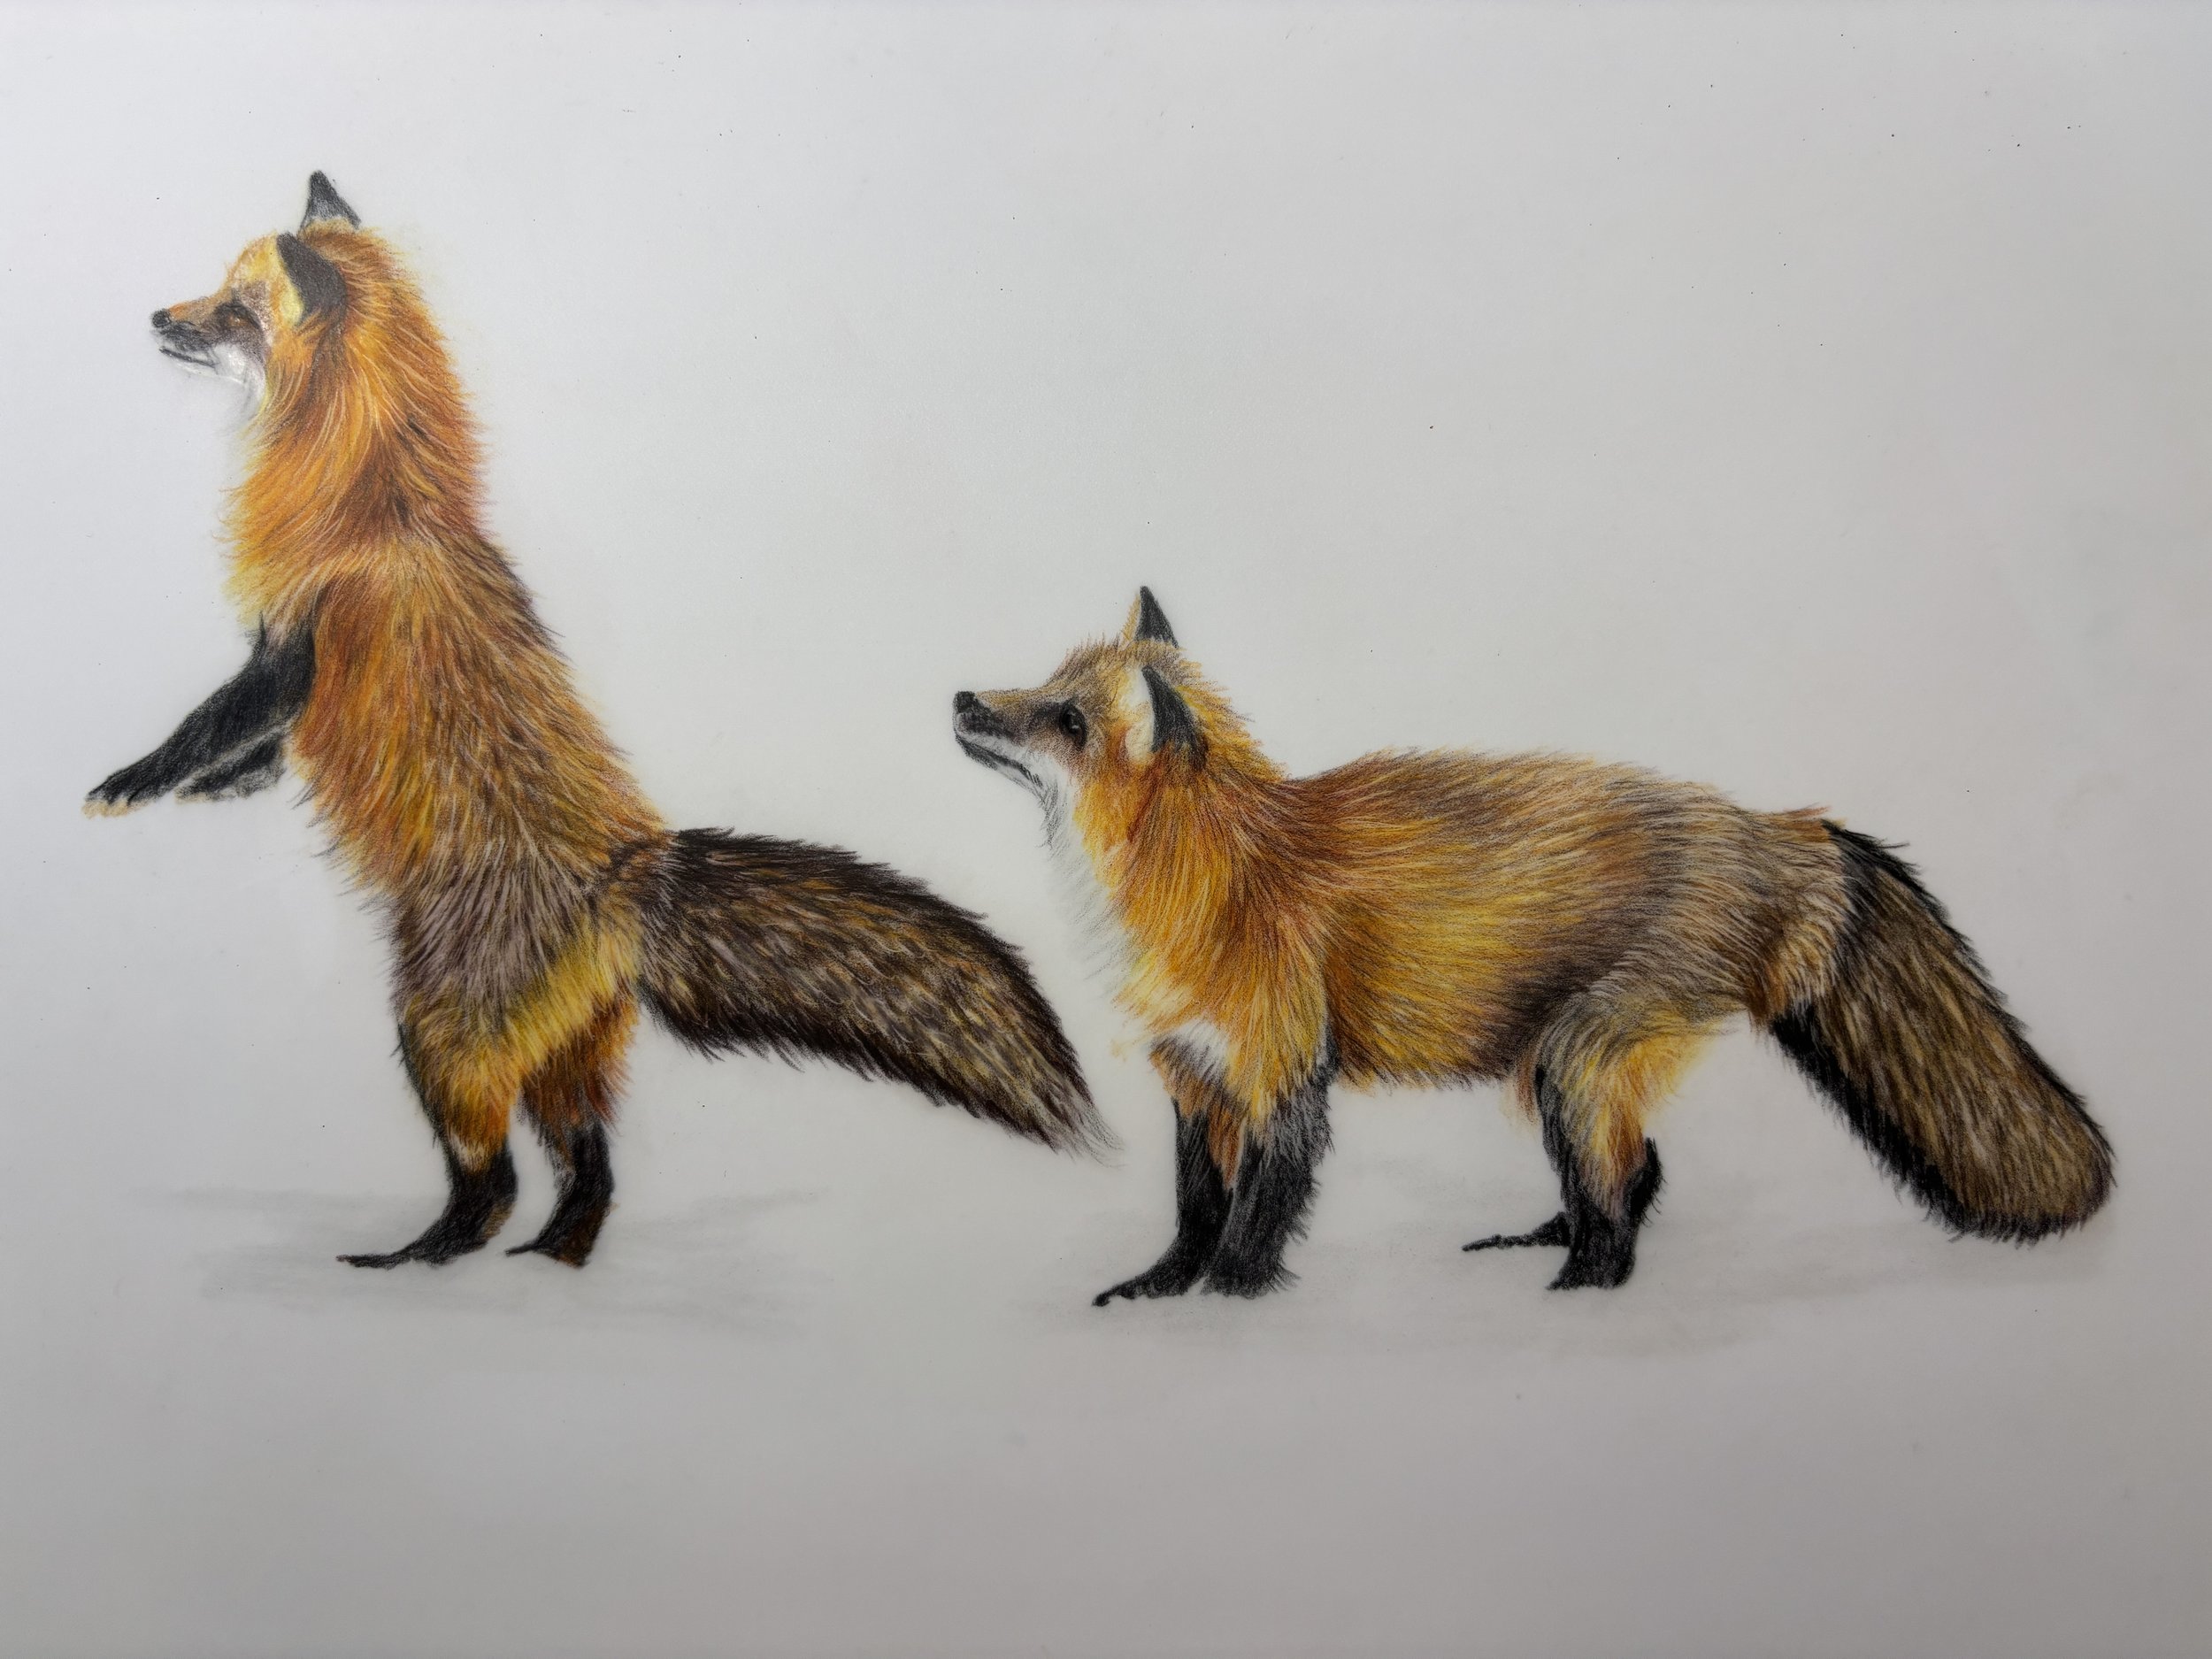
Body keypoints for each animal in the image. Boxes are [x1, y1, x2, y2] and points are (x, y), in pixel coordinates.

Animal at [87, 174, 1103, 1271]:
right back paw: (558, 1265)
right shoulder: (290, 671)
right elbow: (255, 752)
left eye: (235, 308)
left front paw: (128, 788)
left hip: (436, 1038)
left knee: (493, 1184)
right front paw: (222, 789)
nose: (157, 318)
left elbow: (204, 727)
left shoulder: (289, 655)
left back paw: (418, 1262)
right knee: (595, 1170)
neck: (379, 505)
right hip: (561, 1060)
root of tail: (630, 874)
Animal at [954, 588, 2112, 1302]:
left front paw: (1229, 1304)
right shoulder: (1196, 1077)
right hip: (1558, 1068)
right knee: (1639, 1174)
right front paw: (1160, 1291)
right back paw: (1543, 1241)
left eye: (1062, 719)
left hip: (1575, 1060)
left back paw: (1580, 1290)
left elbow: (1253, 1220)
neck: (1199, 880)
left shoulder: (1282, 1074)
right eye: (1041, 684)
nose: (964, 695)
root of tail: (1777, 826)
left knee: (1621, 1199)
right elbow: (1194, 1211)